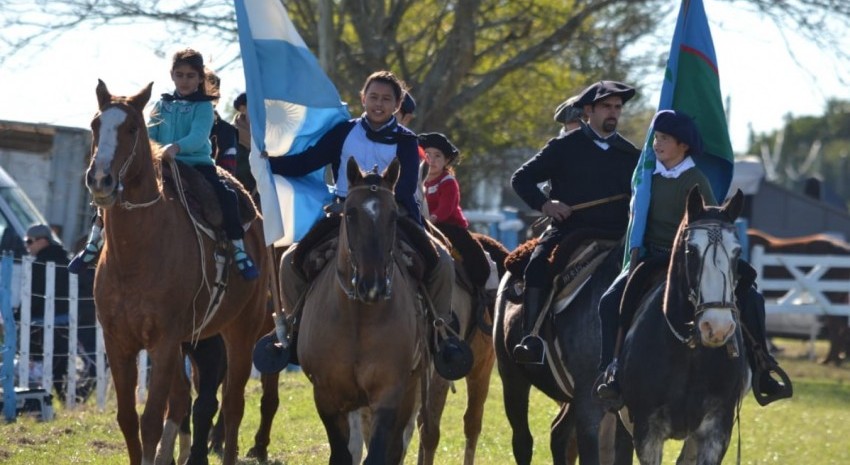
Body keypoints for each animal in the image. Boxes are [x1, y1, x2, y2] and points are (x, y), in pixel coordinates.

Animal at [87, 80, 266, 464]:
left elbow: (152, 419)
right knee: (185, 400)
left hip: (241, 331)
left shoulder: (165, 342)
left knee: (232, 405)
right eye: (96, 125)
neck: (135, 258)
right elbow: (129, 419)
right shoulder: (118, 341)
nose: (100, 180)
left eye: (132, 128)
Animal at [298, 157, 428, 464]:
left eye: (393, 216)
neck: (357, 316)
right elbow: (342, 454)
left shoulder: (389, 393)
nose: (373, 285)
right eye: (351, 214)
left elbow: (380, 453)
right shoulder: (326, 396)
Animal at [612, 188, 744, 464]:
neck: (690, 352)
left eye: (737, 253)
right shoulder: (647, 432)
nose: (717, 328)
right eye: (691, 251)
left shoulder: (716, 433)